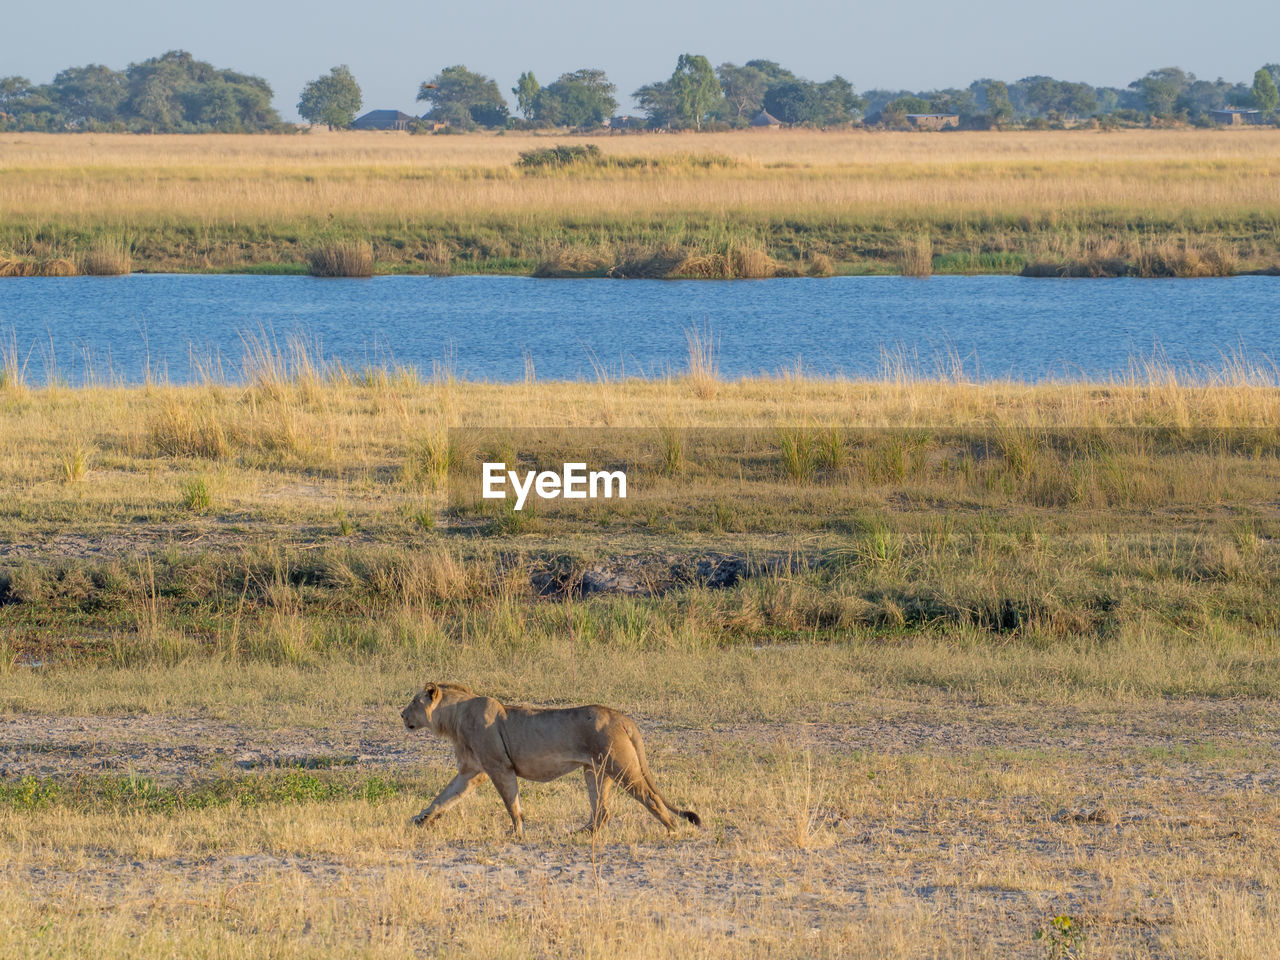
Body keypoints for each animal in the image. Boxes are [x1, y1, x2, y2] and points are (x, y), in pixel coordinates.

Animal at [399, 686, 701, 834]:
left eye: (414, 702)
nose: (401, 715)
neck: (453, 717)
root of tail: (622, 717)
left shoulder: (499, 767)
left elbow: (511, 803)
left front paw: (517, 831)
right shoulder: (471, 771)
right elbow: (444, 797)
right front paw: (421, 819)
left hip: (621, 767)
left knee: (650, 797)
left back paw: (672, 829)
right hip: (596, 771)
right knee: (602, 811)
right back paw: (581, 834)